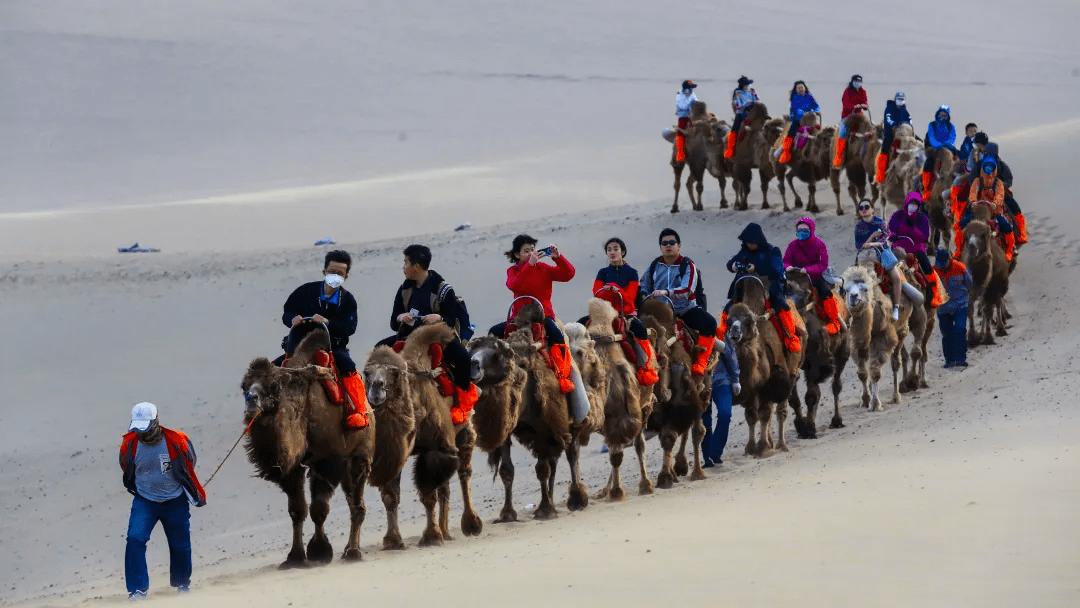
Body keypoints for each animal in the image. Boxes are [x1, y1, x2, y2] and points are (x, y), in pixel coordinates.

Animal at [243, 326, 378, 570]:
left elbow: (319, 508)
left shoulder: (329, 459)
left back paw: (353, 552)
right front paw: (295, 557)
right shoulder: (292, 467)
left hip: (360, 454)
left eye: (273, 386)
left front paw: (319, 552)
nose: (251, 400)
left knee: (357, 504)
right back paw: (348, 549)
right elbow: (297, 510)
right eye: (243, 387)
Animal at [362, 323, 481, 552]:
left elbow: (428, 493)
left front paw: (432, 536)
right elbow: (390, 496)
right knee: (446, 486)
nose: (376, 388)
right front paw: (392, 540)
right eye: (366, 373)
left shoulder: (435, 448)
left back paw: (471, 524)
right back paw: (446, 530)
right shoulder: (394, 454)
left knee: (464, 472)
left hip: (464, 429)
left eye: (394, 373)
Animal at [466, 332, 529, 522]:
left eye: (496, 355)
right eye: (468, 352)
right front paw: (507, 513)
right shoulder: (504, 432)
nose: (472, 366)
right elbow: (506, 470)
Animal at [781, 269, 846, 438]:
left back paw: (837, 420)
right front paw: (801, 425)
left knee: (836, 384)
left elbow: (811, 396)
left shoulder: (816, 364)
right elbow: (793, 399)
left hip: (843, 351)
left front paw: (809, 428)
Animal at [963, 213, 1010, 347]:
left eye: (982, 235)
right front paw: (972, 336)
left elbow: (988, 310)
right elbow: (970, 309)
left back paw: (1000, 327)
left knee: (995, 305)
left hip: (998, 288)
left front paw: (988, 337)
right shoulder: (971, 289)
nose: (972, 247)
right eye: (967, 237)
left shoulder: (991, 289)